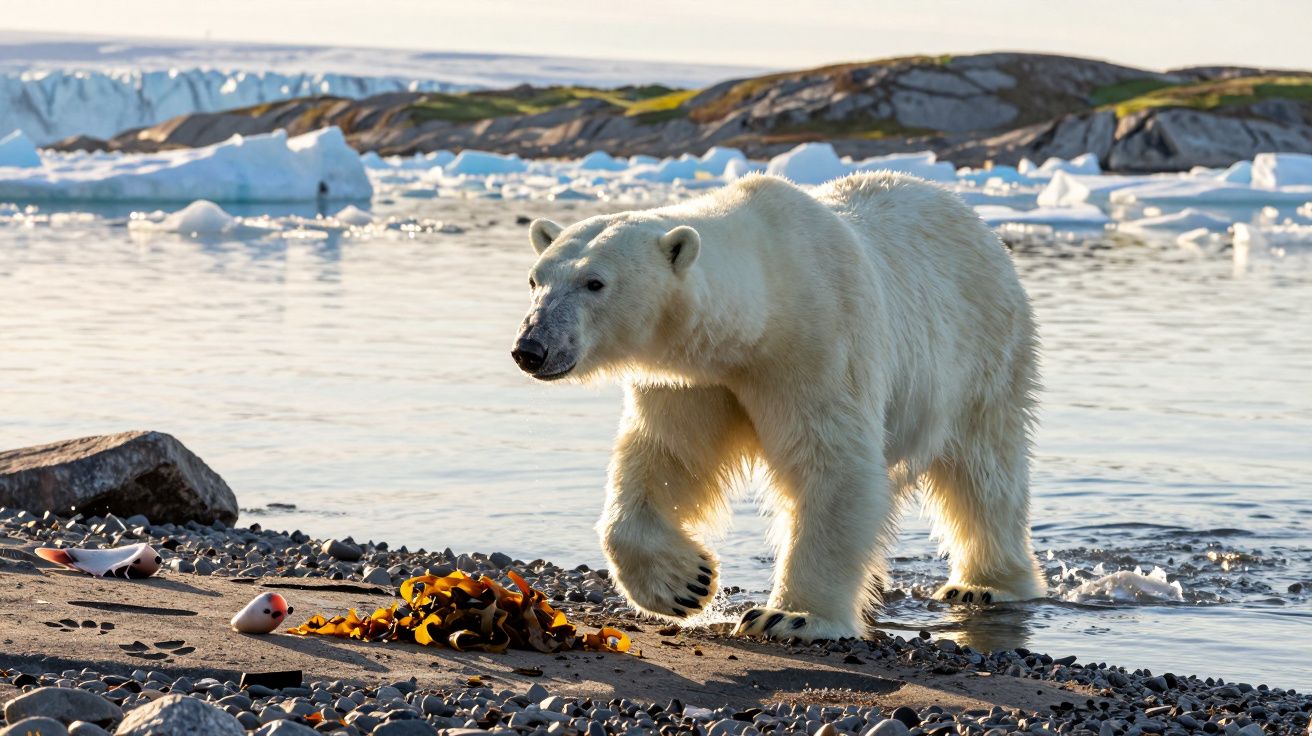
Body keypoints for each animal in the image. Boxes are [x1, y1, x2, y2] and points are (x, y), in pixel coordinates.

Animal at [512, 172, 1046, 642]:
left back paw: (984, 585)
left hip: (982, 349)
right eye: (536, 280)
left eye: (595, 283)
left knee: (984, 473)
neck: (762, 309)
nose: (531, 347)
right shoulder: (693, 378)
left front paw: (791, 617)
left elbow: (831, 465)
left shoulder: (820, 345)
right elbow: (668, 456)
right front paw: (685, 583)